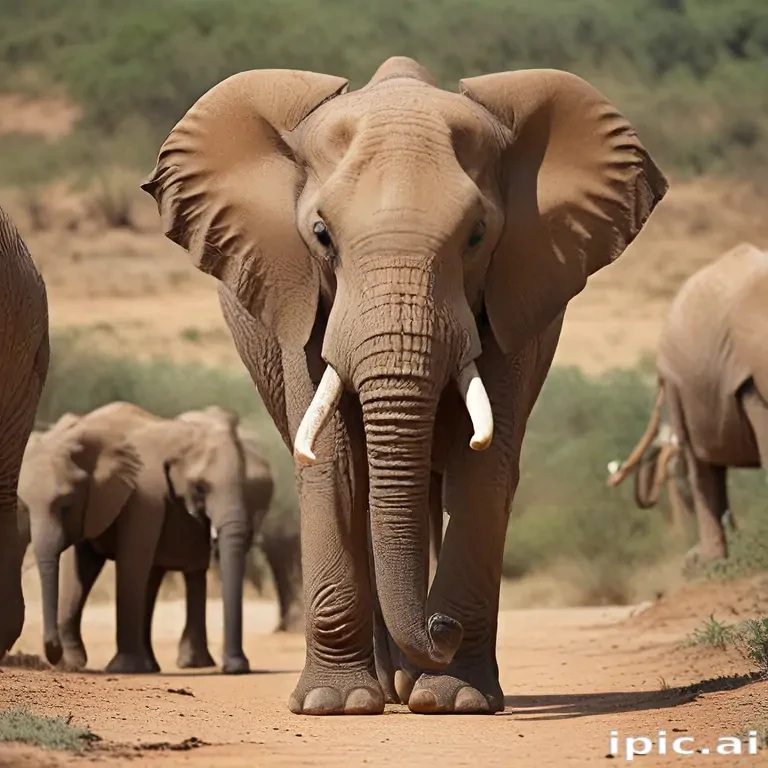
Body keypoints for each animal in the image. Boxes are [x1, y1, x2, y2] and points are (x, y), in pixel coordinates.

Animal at [19, 401, 254, 674]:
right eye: (200, 487)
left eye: (66, 505)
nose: (236, 668)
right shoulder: (140, 494)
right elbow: (80, 568)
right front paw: (75, 665)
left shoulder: (143, 498)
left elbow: (128, 562)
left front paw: (119, 667)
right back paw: (153, 666)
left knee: (183, 569)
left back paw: (183, 664)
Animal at [142, 56, 667, 714]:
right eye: (321, 235)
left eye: (477, 236)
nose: (442, 629)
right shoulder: (298, 297)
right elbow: (335, 464)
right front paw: (335, 704)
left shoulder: (517, 294)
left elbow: (485, 465)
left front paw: (457, 698)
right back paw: (387, 687)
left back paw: (411, 684)